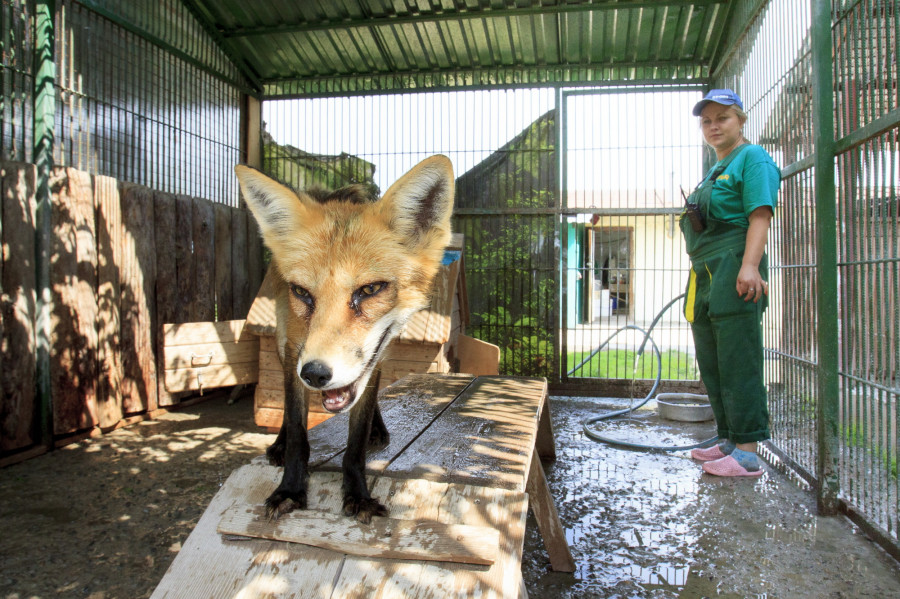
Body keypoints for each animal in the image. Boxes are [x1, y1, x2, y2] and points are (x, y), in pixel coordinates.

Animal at [234, 157, 454, 524]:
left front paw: (357, 493)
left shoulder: (373, 359)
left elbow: (355, 441)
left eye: (370, 289)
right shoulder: (295, 350)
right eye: (302, 293)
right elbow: (297, 433)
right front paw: (290, 489)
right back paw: (278, 444)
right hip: (282, 344)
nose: (315, 374)